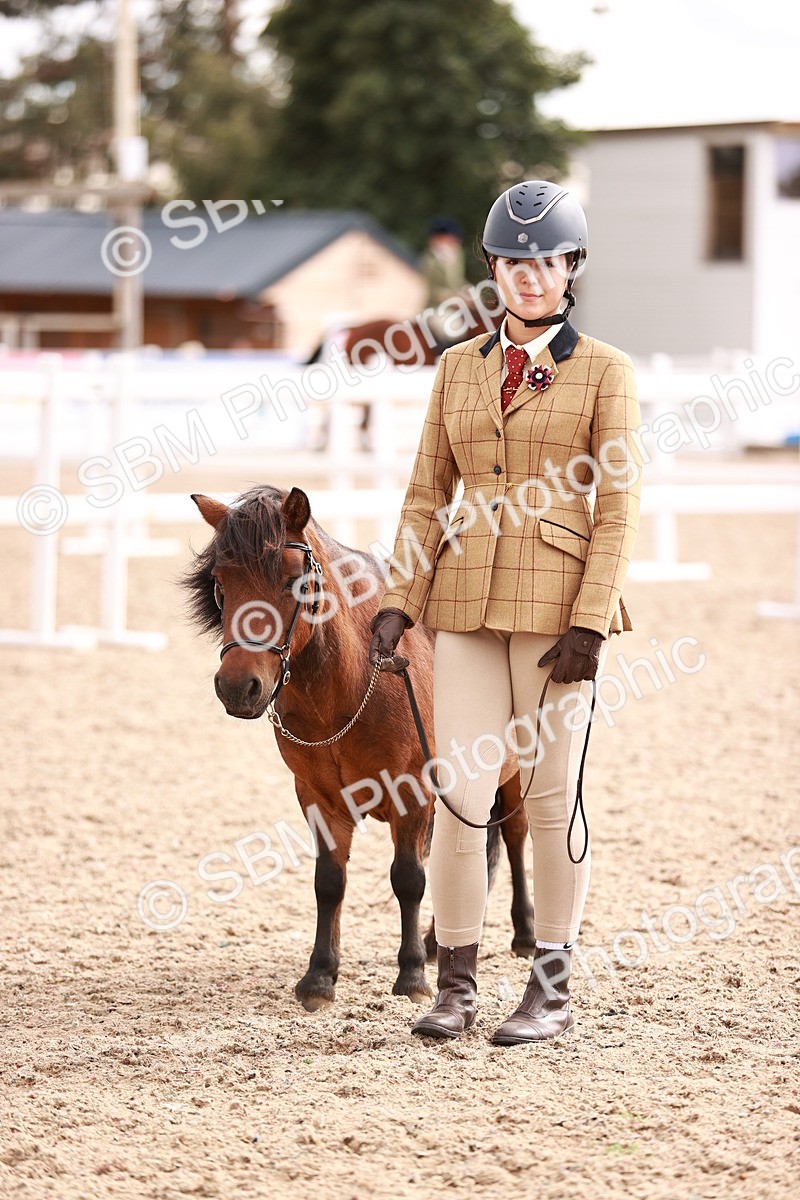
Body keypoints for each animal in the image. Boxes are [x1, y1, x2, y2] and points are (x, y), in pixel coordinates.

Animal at [181, 483, 535, 1011]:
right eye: (221, 582)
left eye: (295, 582)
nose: (238, 686)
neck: (345, 690)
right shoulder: (317, 797)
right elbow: (329, 883)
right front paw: (319, 976)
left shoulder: (413, 793)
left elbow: (408, 879)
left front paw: (411, 975)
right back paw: (440, 942)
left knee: (514, 836)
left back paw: (525, 934)